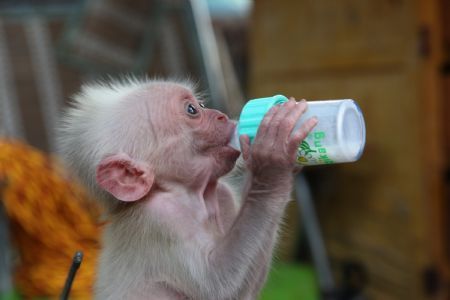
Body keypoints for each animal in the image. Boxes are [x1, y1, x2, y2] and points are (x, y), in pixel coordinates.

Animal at [57, 78, 316, 298]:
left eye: (201, 104)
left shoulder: (223, 195)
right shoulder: (160, 218)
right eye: (192, 110)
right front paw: (272, 159)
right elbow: (218, 287)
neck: (192, 196)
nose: (222, 116)